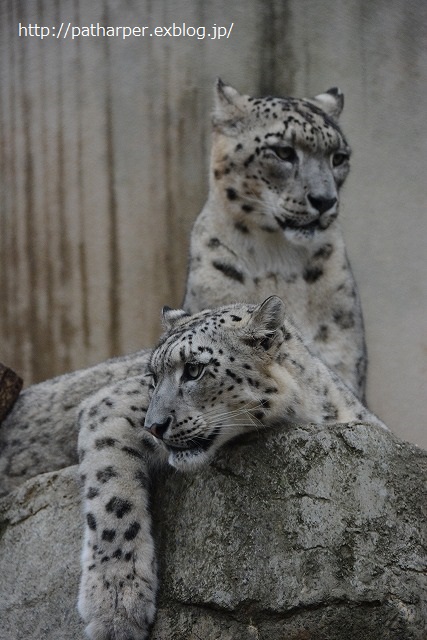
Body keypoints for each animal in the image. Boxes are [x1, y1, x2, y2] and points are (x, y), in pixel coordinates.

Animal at [77, 296, 388, 640]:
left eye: (194, 369)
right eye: (152, 378)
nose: (153, 426)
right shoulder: (111, 404)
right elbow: (113, 503)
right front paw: (116, 605)